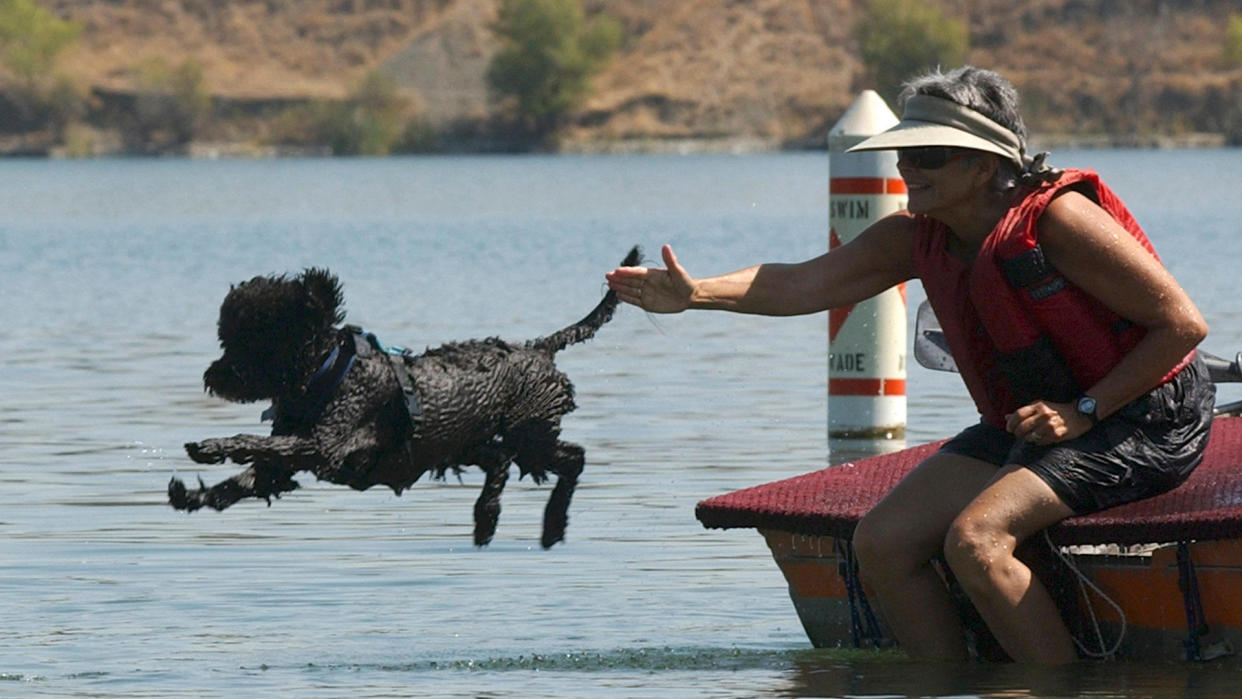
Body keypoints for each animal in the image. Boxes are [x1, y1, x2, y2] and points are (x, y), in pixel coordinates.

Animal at [172, 248, 640, 548]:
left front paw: (212, 446)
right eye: (227, 337)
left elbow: (258, 444)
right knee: (501, 463)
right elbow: (247, 479)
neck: (327, 374)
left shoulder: (324, 445)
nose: (213, 376)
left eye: (254, 341)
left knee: (572, 459)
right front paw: (195, 496)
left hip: (530, 435)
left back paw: (551, 524)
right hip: (466, 444)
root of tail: (539, 348)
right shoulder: (285, 464)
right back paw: (485, 519)